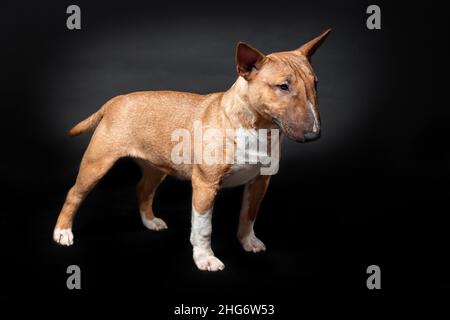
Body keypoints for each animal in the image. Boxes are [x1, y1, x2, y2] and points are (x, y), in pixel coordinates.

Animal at [54, 29, 332, 270]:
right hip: (97, 163)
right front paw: (205, 259)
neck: (257, 126)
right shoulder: (205, 185)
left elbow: (249, 215)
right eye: (283, 86)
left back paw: (150, 221)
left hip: (156, 167)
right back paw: (62, 232)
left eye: (316, 84)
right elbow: (203, 227)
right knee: (74, 194)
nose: (314, 134)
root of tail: (115, 100)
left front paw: (248, 242)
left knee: (143, 189)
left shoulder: (260, 182)